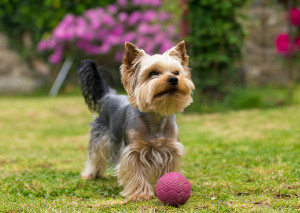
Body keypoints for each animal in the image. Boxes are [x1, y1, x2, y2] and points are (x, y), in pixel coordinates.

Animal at [77, 40, 195, 201]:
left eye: (176, 72)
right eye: (153, 73)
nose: (173, 79)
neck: (156, 116)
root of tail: (109, 95)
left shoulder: (170, 149)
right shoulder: (134, 151)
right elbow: (136, 171)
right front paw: (139, 194)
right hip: (100, 136)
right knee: (95, 155)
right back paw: (91, 174)